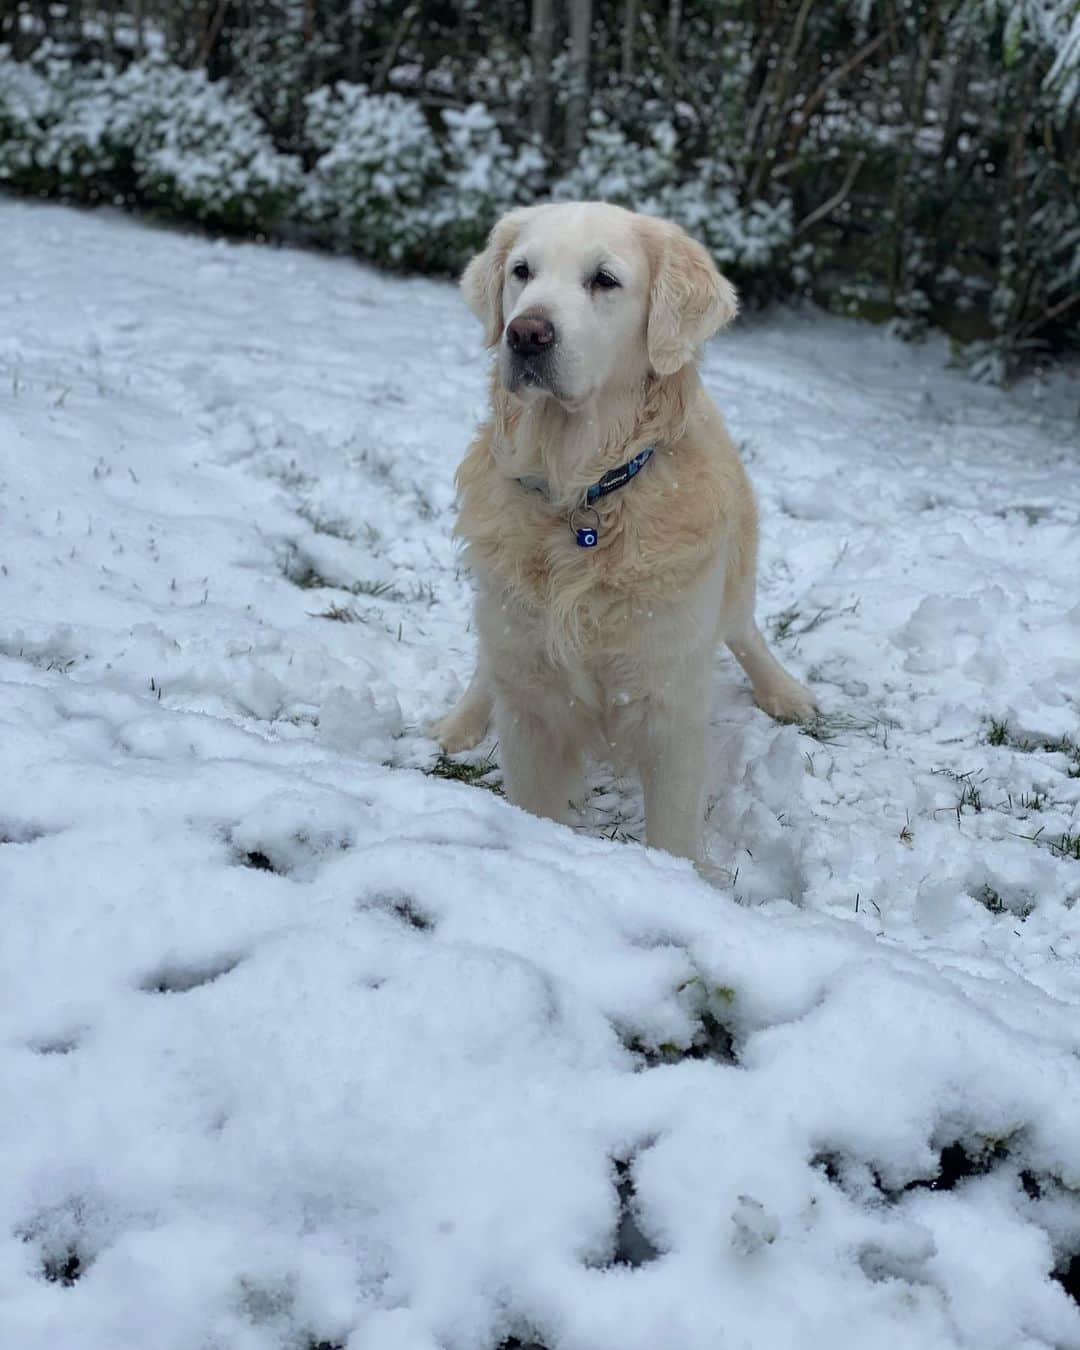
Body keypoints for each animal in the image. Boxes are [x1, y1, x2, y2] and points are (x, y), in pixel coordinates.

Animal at [429, 201, 810, 864]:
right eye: (522, 271)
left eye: (604, 280)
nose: (525, 334)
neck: (582, 492)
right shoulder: (530, 702)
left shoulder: (670, 702)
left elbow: (674, 835)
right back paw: (461, 722)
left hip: (734, 583)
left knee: (745, 631)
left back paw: (784, 691)